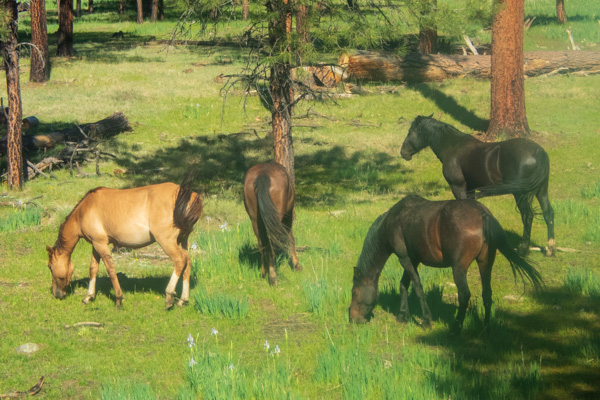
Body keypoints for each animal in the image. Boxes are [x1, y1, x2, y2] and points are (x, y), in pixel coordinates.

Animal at [45, 170, 204, 308]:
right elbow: (93, 269)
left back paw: (169, 296)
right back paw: (183, 299)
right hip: (182, 240)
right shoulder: (96, 244)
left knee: (179, 261)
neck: (84, 210)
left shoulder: (101, 244)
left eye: (50, 267)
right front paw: (88, 296)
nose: (56, 294)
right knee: (188, 262)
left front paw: (118, 299)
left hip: (167, 241)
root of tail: (189, 195)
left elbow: (110, 269)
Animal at [346, 195, 544, 332]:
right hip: (485, 263)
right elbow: (403, 285)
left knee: (464, 295)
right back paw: (486, 327)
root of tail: (483, 214)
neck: (392, 221)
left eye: (354, 291)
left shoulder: (405, 258)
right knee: (487, 294)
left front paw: (426, 320)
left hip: (459, 269)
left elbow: (417, 287)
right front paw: (403, 315)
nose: (353, 318)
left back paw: (456, 329)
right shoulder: (413, 259)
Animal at [400, 114, 556, 256]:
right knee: (548, 213)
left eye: (410, 132)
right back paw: (550, 249)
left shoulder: (458, 187)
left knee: (527, 216)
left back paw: (523, 249)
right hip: (541, 190)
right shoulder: (470, 189)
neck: (453, 147)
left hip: (521, 193)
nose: (403, 153)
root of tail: (539, 152)